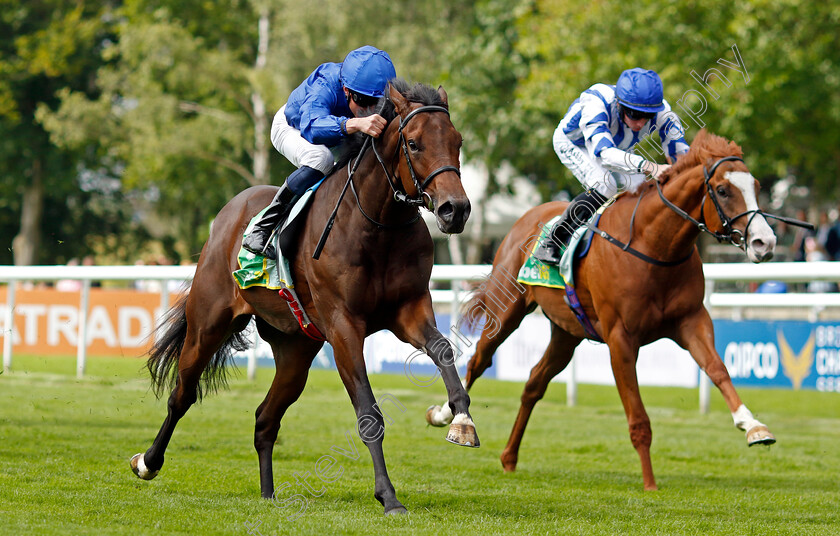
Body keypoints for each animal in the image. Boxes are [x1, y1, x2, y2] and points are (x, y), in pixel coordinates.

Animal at [134, 80, 480, 516]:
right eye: (414, 144)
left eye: (457, 141)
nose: (456, 210)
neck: (377, 225)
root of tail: (229, 212)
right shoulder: (344, 326)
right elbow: (369, 414)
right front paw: (388, 496)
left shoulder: (409, 310)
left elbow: (443, 350)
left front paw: (460, 420)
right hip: (208, 323)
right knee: (182, 395)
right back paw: (147, 462)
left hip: (295, 349)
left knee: (265, 419)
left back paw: (268, 493)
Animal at [430, 129, 776, 490]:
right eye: (722, 190)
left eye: (756, 186)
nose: (765, 242)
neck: (654, 247)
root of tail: (523, 219)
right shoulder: (621, 338)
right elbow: (638, 417)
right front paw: (650, 483)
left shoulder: (692, 320)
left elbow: (717, 369)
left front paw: (753, 426)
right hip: (507, 309)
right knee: (479, 361)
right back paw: (450, 419)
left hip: (567, 332)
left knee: (534, 383)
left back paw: (509, 457)